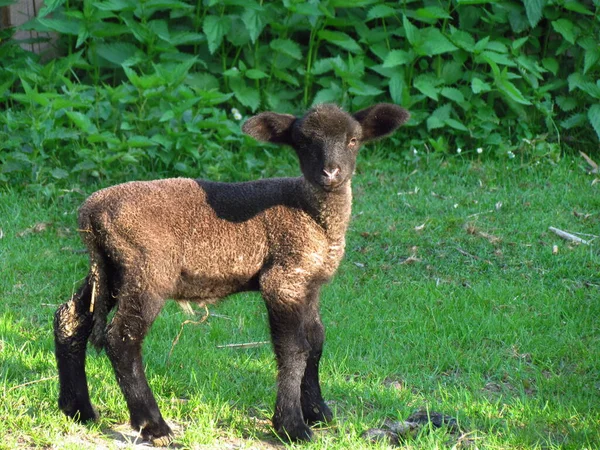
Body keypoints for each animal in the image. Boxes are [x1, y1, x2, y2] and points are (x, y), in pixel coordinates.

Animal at [54, 103, 410, 444]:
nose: (331, 172)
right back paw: (154, 426)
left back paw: (78, 410)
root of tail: (91, 214)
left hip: (111, 270)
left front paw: (317, 411)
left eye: (353, 140)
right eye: (304, 142)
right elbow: (294, 349)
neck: (312, 214)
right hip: (148, 269)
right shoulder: (283, 279)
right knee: (122, 339)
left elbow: (316, 342)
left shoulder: (309, 282)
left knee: (70, 318)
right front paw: (291, 427)